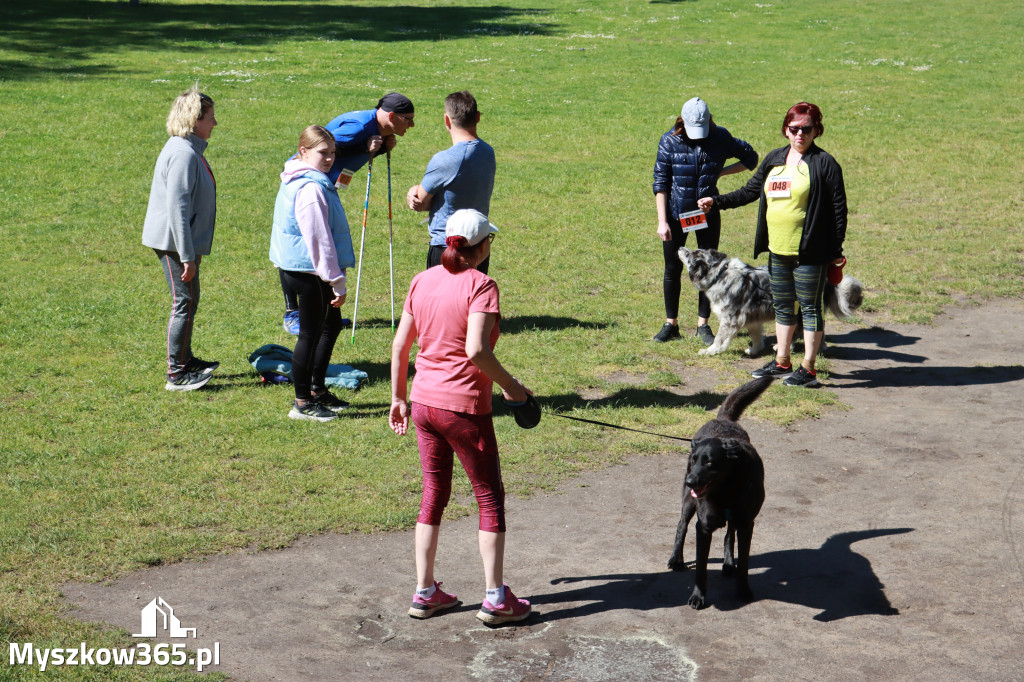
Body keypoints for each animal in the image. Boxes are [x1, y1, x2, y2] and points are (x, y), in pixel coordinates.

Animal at [667, 376, 770, 606]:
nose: (689, 481)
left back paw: (728, 563)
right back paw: (676, 559)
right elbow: (701, 568)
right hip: (688, 501)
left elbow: (744, 563)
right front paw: (698, 596)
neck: (725, 490)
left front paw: (743, 591)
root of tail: (723, 419)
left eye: (709, 462)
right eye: (694, 460)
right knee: (681, 525)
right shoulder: (703, 527)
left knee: (729, 535)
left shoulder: (746, 525)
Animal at [679, 248, 864, 356]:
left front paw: (711, 350)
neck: (719, 275)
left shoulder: (730, 319)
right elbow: (754, 336)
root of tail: (825, 280)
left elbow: (719, 338)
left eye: (692, 254)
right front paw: (754, 350)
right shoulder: (750, 317)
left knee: (805, 330)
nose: (681, 247)